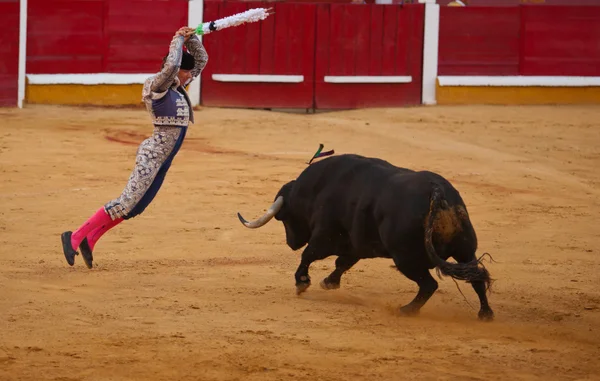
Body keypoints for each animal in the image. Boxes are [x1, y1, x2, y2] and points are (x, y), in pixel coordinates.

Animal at [237, 153, 494, 320]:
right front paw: (329, 282)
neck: (315, 189)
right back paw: (485, 313)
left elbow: (309, 255)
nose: (290, 243)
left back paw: (406, 310)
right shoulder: (356, 245)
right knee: (476, 277)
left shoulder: (325, 235)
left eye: (284, 218)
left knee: (429, 284)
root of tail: (436, 192)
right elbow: (342, 263)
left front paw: (302, 283)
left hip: (406, 258)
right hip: (465, 250)